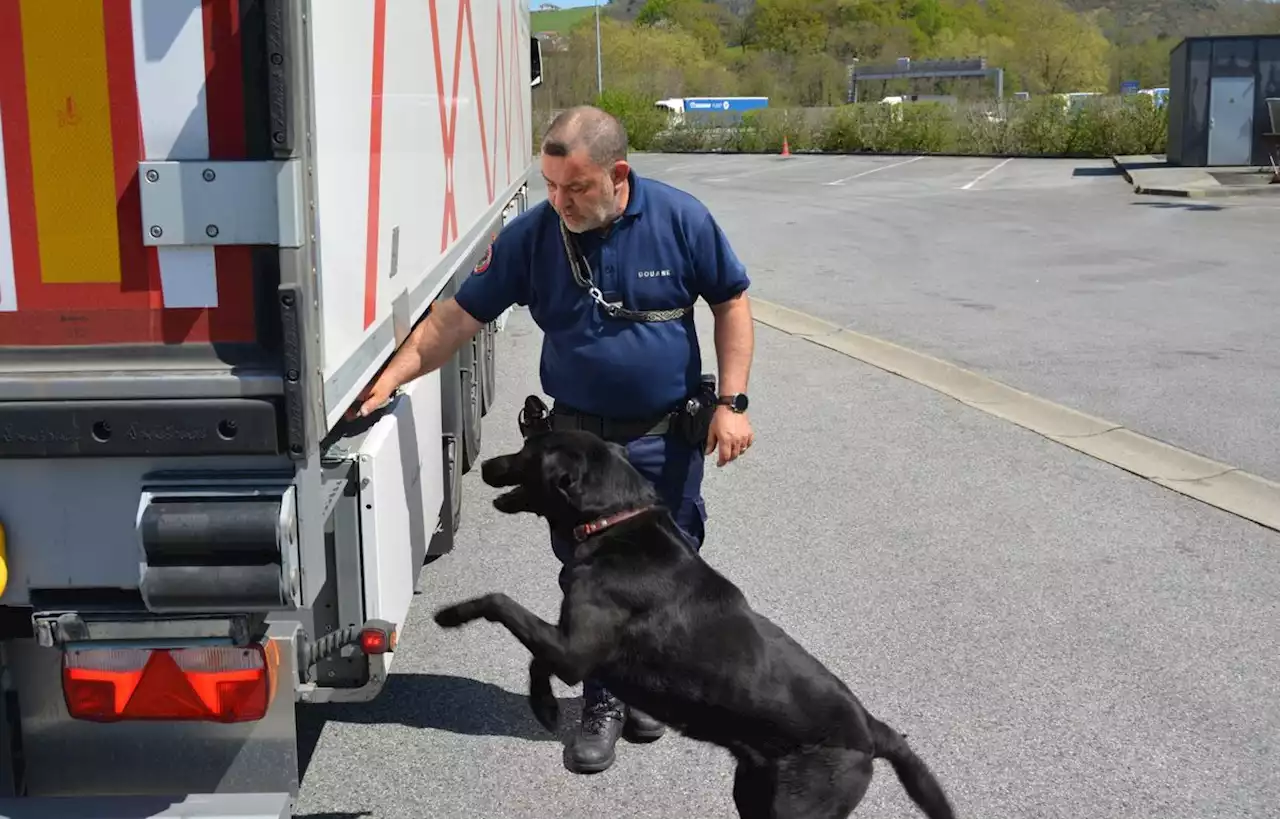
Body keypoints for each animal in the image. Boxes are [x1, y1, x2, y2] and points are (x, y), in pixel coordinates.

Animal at [435, 432, 957, 813]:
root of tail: (871, 728)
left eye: (527, 449)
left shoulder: (575, 651)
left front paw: (450, 615)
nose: (487, 465)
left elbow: (501, 604)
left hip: (798, 804)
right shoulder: (573, 649)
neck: (613, 522)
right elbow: (535, 656)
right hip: (753, 790)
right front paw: (543, 707)